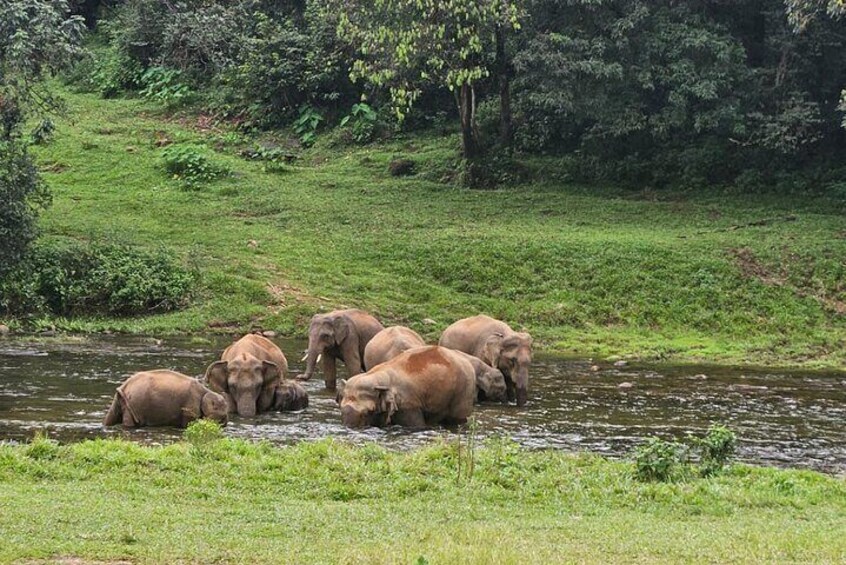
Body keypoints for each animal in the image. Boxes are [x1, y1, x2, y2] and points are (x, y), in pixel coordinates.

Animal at [336, 344, 476, 428]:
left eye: (368, 412)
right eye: (340, 407)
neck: (378, 375)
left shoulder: (408, 404)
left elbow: (417, 425)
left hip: (464, 390)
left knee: (457, 419)